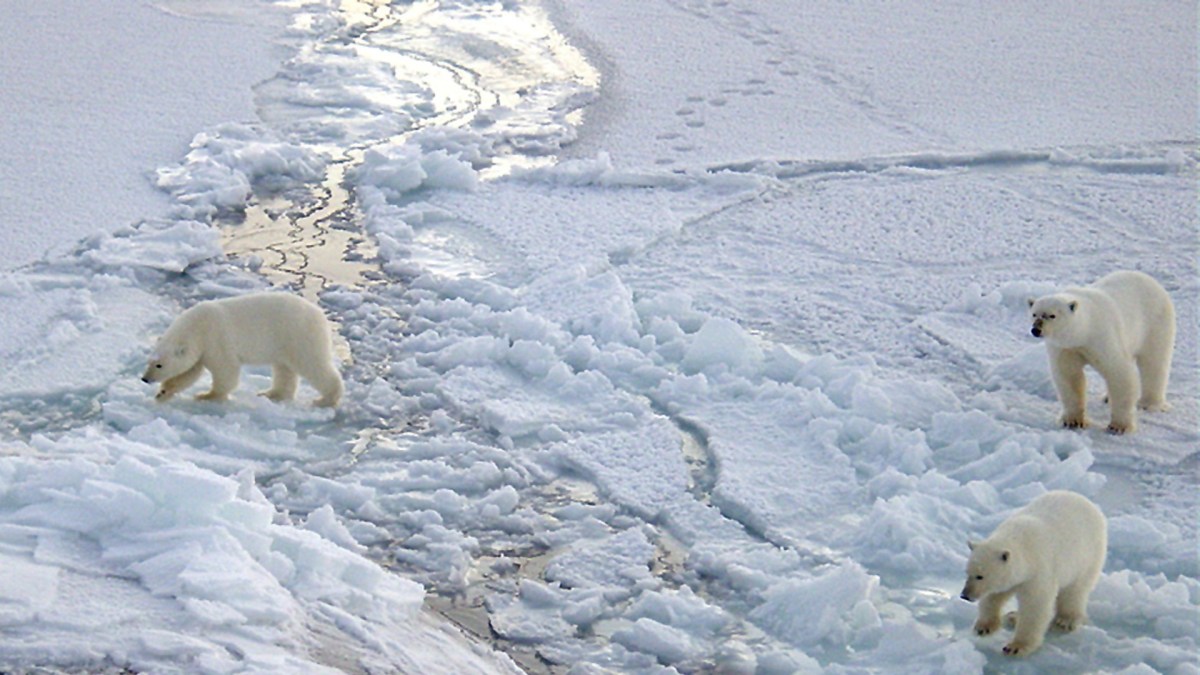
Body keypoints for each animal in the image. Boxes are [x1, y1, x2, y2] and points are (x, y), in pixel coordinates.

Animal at [144, 291, 348, 408]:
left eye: (159, 365)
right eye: (150, 361)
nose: (145, 379)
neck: (197, 326)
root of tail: (320, 315)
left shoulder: (216, 339)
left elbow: (226, 370)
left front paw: (207, 396)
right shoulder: (200, 348)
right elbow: (189, 372)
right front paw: (163, 393)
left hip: (299, 335)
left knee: (313, 364)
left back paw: (325, 399)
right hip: (284, 343)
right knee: (284, 369)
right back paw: (272, 394)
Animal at [960, 487, 1108, 658]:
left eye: (980, 576)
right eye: (967, 572)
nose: (964, 595)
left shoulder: (1039, 570)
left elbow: (1035, 605)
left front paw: (1015, 647)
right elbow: (994, 596)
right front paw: (984, 627)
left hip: (1088, 557)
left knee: (1075, 591)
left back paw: (1065, 620)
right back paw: (1013, 616)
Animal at [1027, 267, 1176, 429]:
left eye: (1052, 315)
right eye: (1034, 314)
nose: (1036, 330)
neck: (1085, 329)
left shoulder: (1102, 336)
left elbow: (1119, 372)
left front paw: (1119, 426)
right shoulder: (1066, 348)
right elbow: (1069, 376)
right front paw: (1073, 420)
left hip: (1155, 323)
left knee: (1154, 362)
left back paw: (1149, 403)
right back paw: (1107, 397)